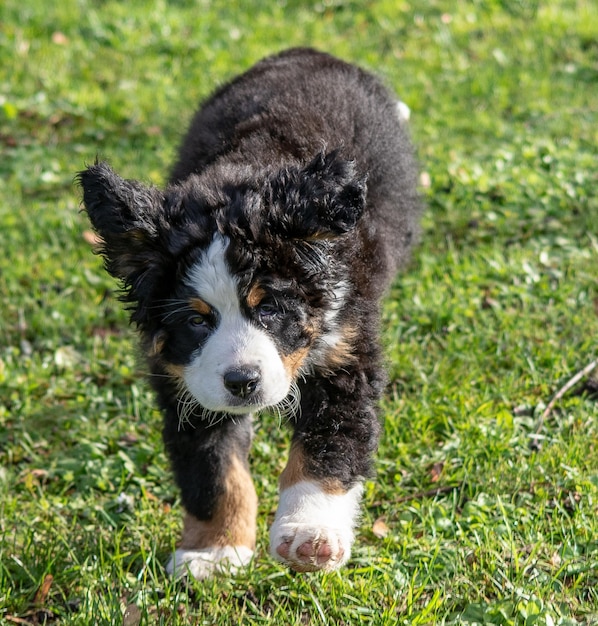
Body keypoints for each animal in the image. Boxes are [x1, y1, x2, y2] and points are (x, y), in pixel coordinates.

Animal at [78, 46, 422, 576]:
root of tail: (308, 51)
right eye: (196, 320)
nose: (243, 383)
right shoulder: (190, 382)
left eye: (269, 310)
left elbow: (326, 446)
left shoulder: (344, 356)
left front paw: (310, 532)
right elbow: (216, 471)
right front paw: (215, 550)